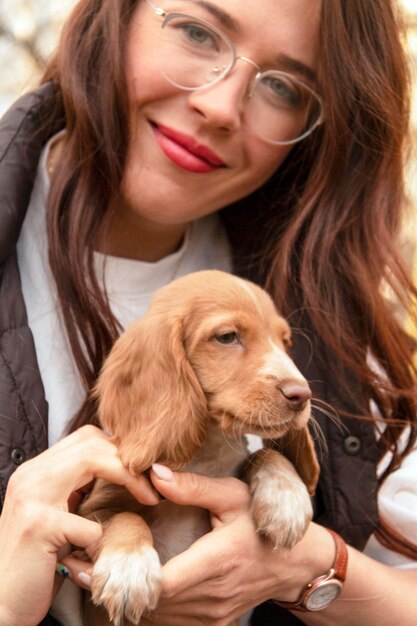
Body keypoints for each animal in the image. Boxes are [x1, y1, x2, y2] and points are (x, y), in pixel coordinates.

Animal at [79, 270, 318, 624]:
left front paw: (286, 500)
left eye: (284, 342)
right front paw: (129, 569)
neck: (204, 454)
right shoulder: (93, 508)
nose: (302, 395)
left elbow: (264, 453)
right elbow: (125, 517)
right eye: (228, 337)